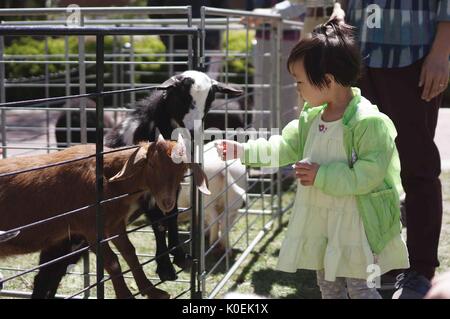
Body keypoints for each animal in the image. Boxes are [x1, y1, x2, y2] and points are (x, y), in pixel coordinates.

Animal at [0, 137, 210, 300]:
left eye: (182, 171)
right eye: (151, 164)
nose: (167, 203)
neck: (108, 179)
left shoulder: (115, 224)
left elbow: (130, 253)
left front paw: (152, 290)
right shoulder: (92, 229)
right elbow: (112, 262)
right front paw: (126, 296)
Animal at [32, 70, 243, 300]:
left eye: (210, 99)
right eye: (182, 97)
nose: (193, 131)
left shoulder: (172, 187)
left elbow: (171, 216)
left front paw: (179, 256)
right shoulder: (147, 191)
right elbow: (159, 223)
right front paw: (166, 268)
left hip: (78, 242)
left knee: (54, 273)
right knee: (44, 274)